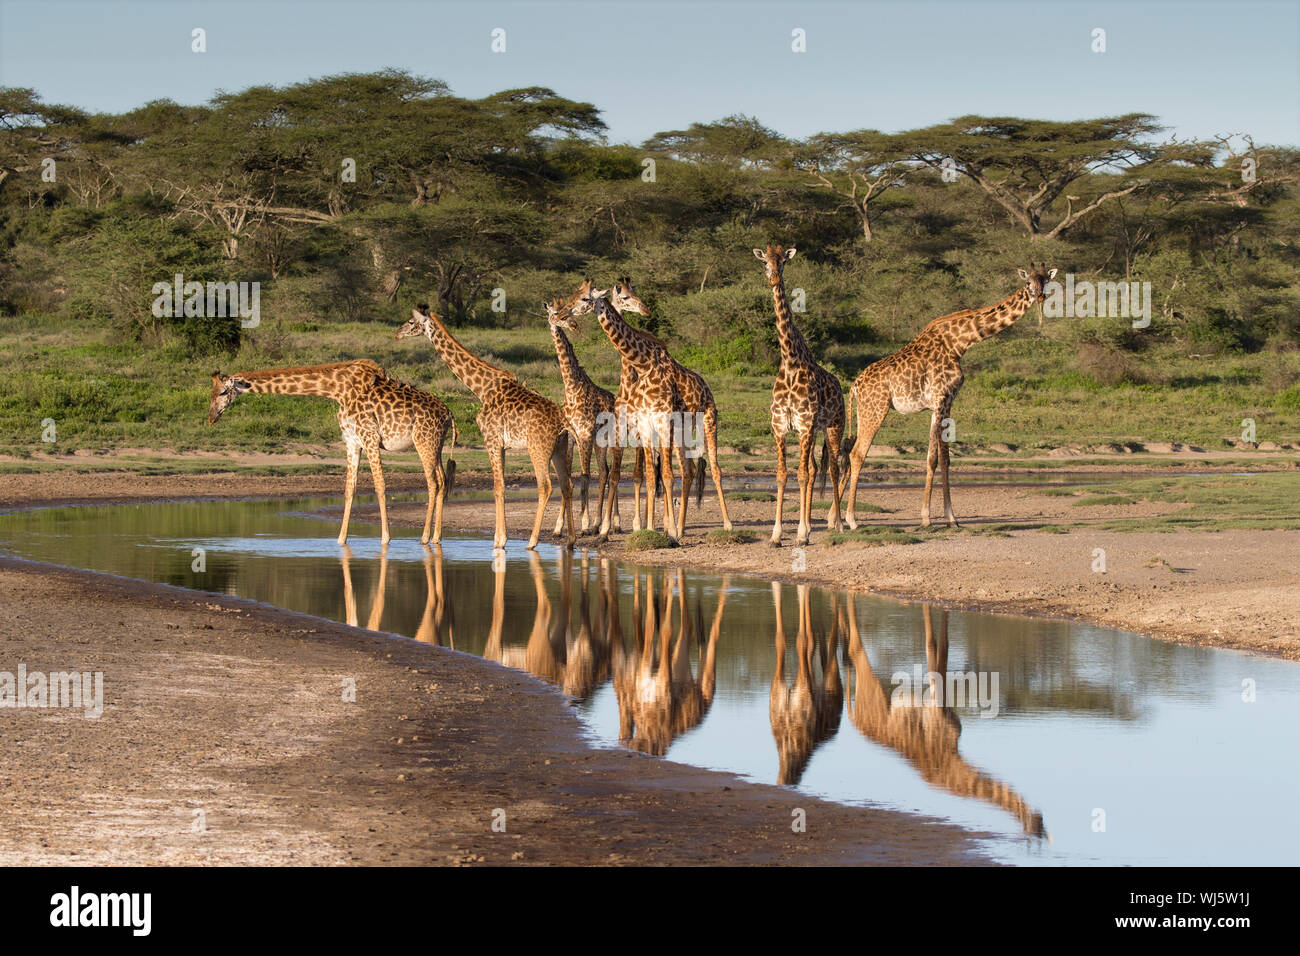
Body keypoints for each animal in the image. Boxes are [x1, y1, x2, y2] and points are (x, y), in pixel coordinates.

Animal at [207, 360, 456, 546]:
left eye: (222, 392)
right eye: (212, 393)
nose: (211, 418)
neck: (336, 390)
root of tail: (449, 414)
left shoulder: (370, 437)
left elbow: (380, 485)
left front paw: (385, 539)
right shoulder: (352, 441)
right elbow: (349, 488)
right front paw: (340, 540)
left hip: (424, 441)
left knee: (432, 483)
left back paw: (424, 538)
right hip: (436, 445)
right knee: (443, 481)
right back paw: (436, 537)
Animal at [396, 304, 574, 550]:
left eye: (412, 322)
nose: (397, 333)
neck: (482, 388)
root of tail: (563, 424)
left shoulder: (490, 440)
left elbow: (497, 487)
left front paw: (499, 541)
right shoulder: (502, 445)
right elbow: (501, 487)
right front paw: (500, 538)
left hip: (537, 448)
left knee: (546, 486)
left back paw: (532, 541)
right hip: (559, 448)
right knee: (567, 485)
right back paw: (571, 541)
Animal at [545, 290, 615, 535]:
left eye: (567, 312)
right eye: (556, 313)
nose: (573, 325)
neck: (571, 387)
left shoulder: (584, 434)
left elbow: (585, 477)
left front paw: (583, 524)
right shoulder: (571, 435)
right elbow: (567, 478)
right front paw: (559, 527)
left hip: (608, 439)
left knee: (607, 472)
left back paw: (602, 524)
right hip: (599, 441)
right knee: (605, 471)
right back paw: (606, 524)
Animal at [754, 245, 846, 547]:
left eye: (783, 262)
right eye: (765, 263)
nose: (773, 279)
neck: (791, 362)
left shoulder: (805, 425)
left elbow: (802, 475)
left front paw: (802, 533)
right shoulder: (781, 426)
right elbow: (783, 475)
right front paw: (777, 534)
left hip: (833, 426)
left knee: (832, 469)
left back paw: (838, 524)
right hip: (815, 431)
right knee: (817, 469)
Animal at [840, 265, 1057, 529]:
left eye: (1045, 280)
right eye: (1028, 282)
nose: (1039, 295)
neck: (960, 342)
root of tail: (855, 386)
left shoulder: (936, 406)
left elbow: (931, 459)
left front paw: (926, 517)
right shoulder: (945, 400)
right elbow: (944, 459)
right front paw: (951, 518)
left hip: (864, 412)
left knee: (848, 453)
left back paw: (833, 519)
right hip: (876, 410)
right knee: (857, 454)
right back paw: (852, 520)